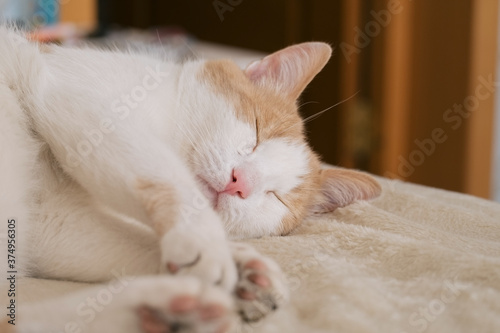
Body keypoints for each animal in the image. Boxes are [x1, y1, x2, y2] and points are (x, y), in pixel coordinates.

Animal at [0, 26, 380, 332]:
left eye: (276, 196)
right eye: (256, 132)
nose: (240, 181)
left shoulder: (50, 221)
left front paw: (240, 270)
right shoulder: (80, 104)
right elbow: (163, 176)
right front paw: (208, 244)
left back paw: (159, 313)